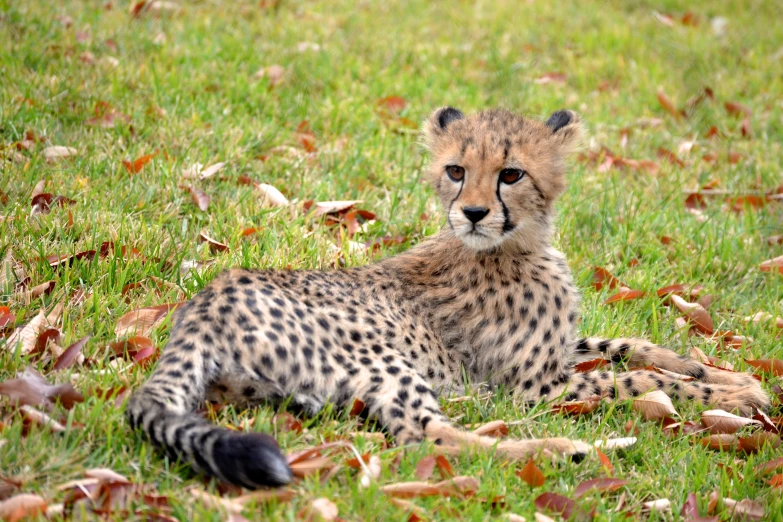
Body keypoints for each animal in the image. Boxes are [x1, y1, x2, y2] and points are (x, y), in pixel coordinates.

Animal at [127, 106, 772, 488]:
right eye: (457, 170)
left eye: (511, 173)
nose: (475, 212)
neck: (515, 245)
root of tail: (203, 303)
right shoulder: (535, 387)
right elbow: (636, 380)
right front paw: (731, 395)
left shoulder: (558, 353)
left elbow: (628, 345)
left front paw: (721, 373)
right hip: (384, 357)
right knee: (425, 438)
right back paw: (563, 450)